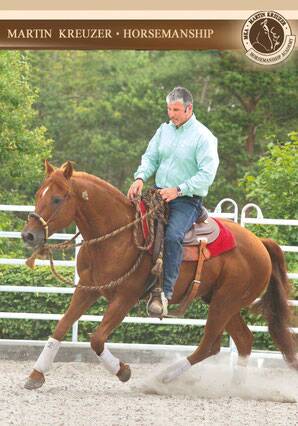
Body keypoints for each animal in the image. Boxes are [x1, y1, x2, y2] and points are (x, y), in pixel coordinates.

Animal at [22, 162, 296, 390]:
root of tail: (260, 243)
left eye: (57, 198)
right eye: (38, 194)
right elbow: (61, 326)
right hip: (221, 301)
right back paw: (235, 388)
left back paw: (161, 378)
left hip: (225, 302)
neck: (116, 236)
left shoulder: (125, 298)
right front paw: (36, 375)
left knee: (209, 344)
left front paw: (123, 371)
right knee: (242, 340)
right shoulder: (88, 289)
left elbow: (97, 339)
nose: (28, 235)